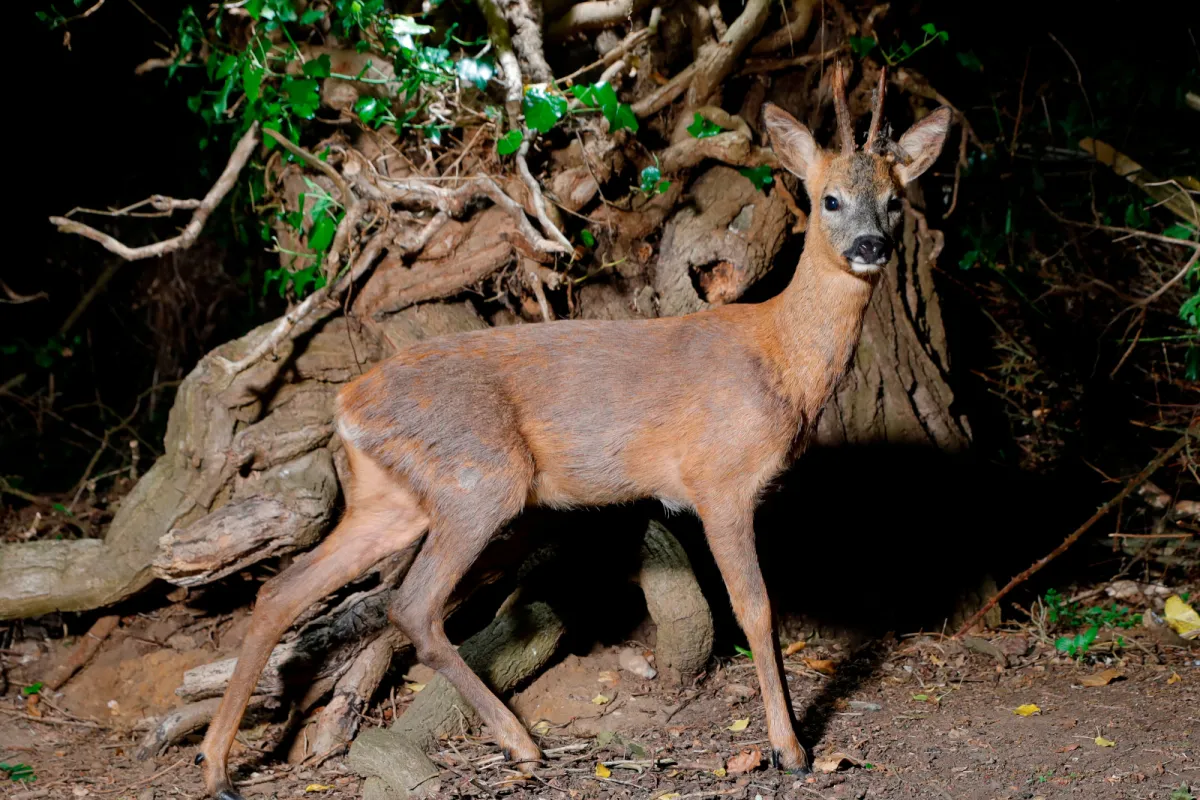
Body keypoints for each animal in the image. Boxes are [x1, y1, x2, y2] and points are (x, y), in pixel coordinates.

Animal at [197, 65, 951, 799]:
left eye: (895, 200)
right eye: (828, 200)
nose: (871, 246)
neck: (781, 359)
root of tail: (346, 404)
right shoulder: (720, 480)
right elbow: (756, 609)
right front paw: (790, 750)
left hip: (391, 497)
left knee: (282, 591)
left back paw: (217, 769)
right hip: (481, 478)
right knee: (410, 606)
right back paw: (521, 743)